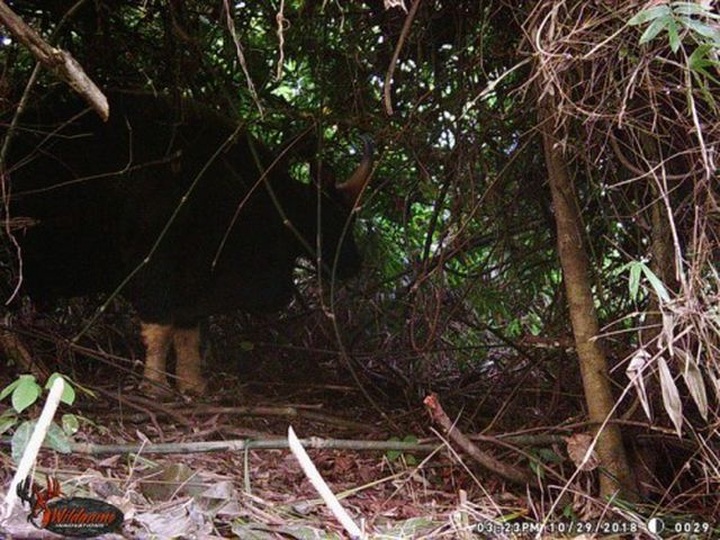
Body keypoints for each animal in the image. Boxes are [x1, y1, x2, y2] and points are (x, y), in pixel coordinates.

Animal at [2, 92, 373, 395]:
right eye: (332, 221)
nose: (354, 263)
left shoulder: (195, 281)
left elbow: (187, 335)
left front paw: (193, 386)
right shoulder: (155, 268)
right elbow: (160, 330)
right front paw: (155, 387)